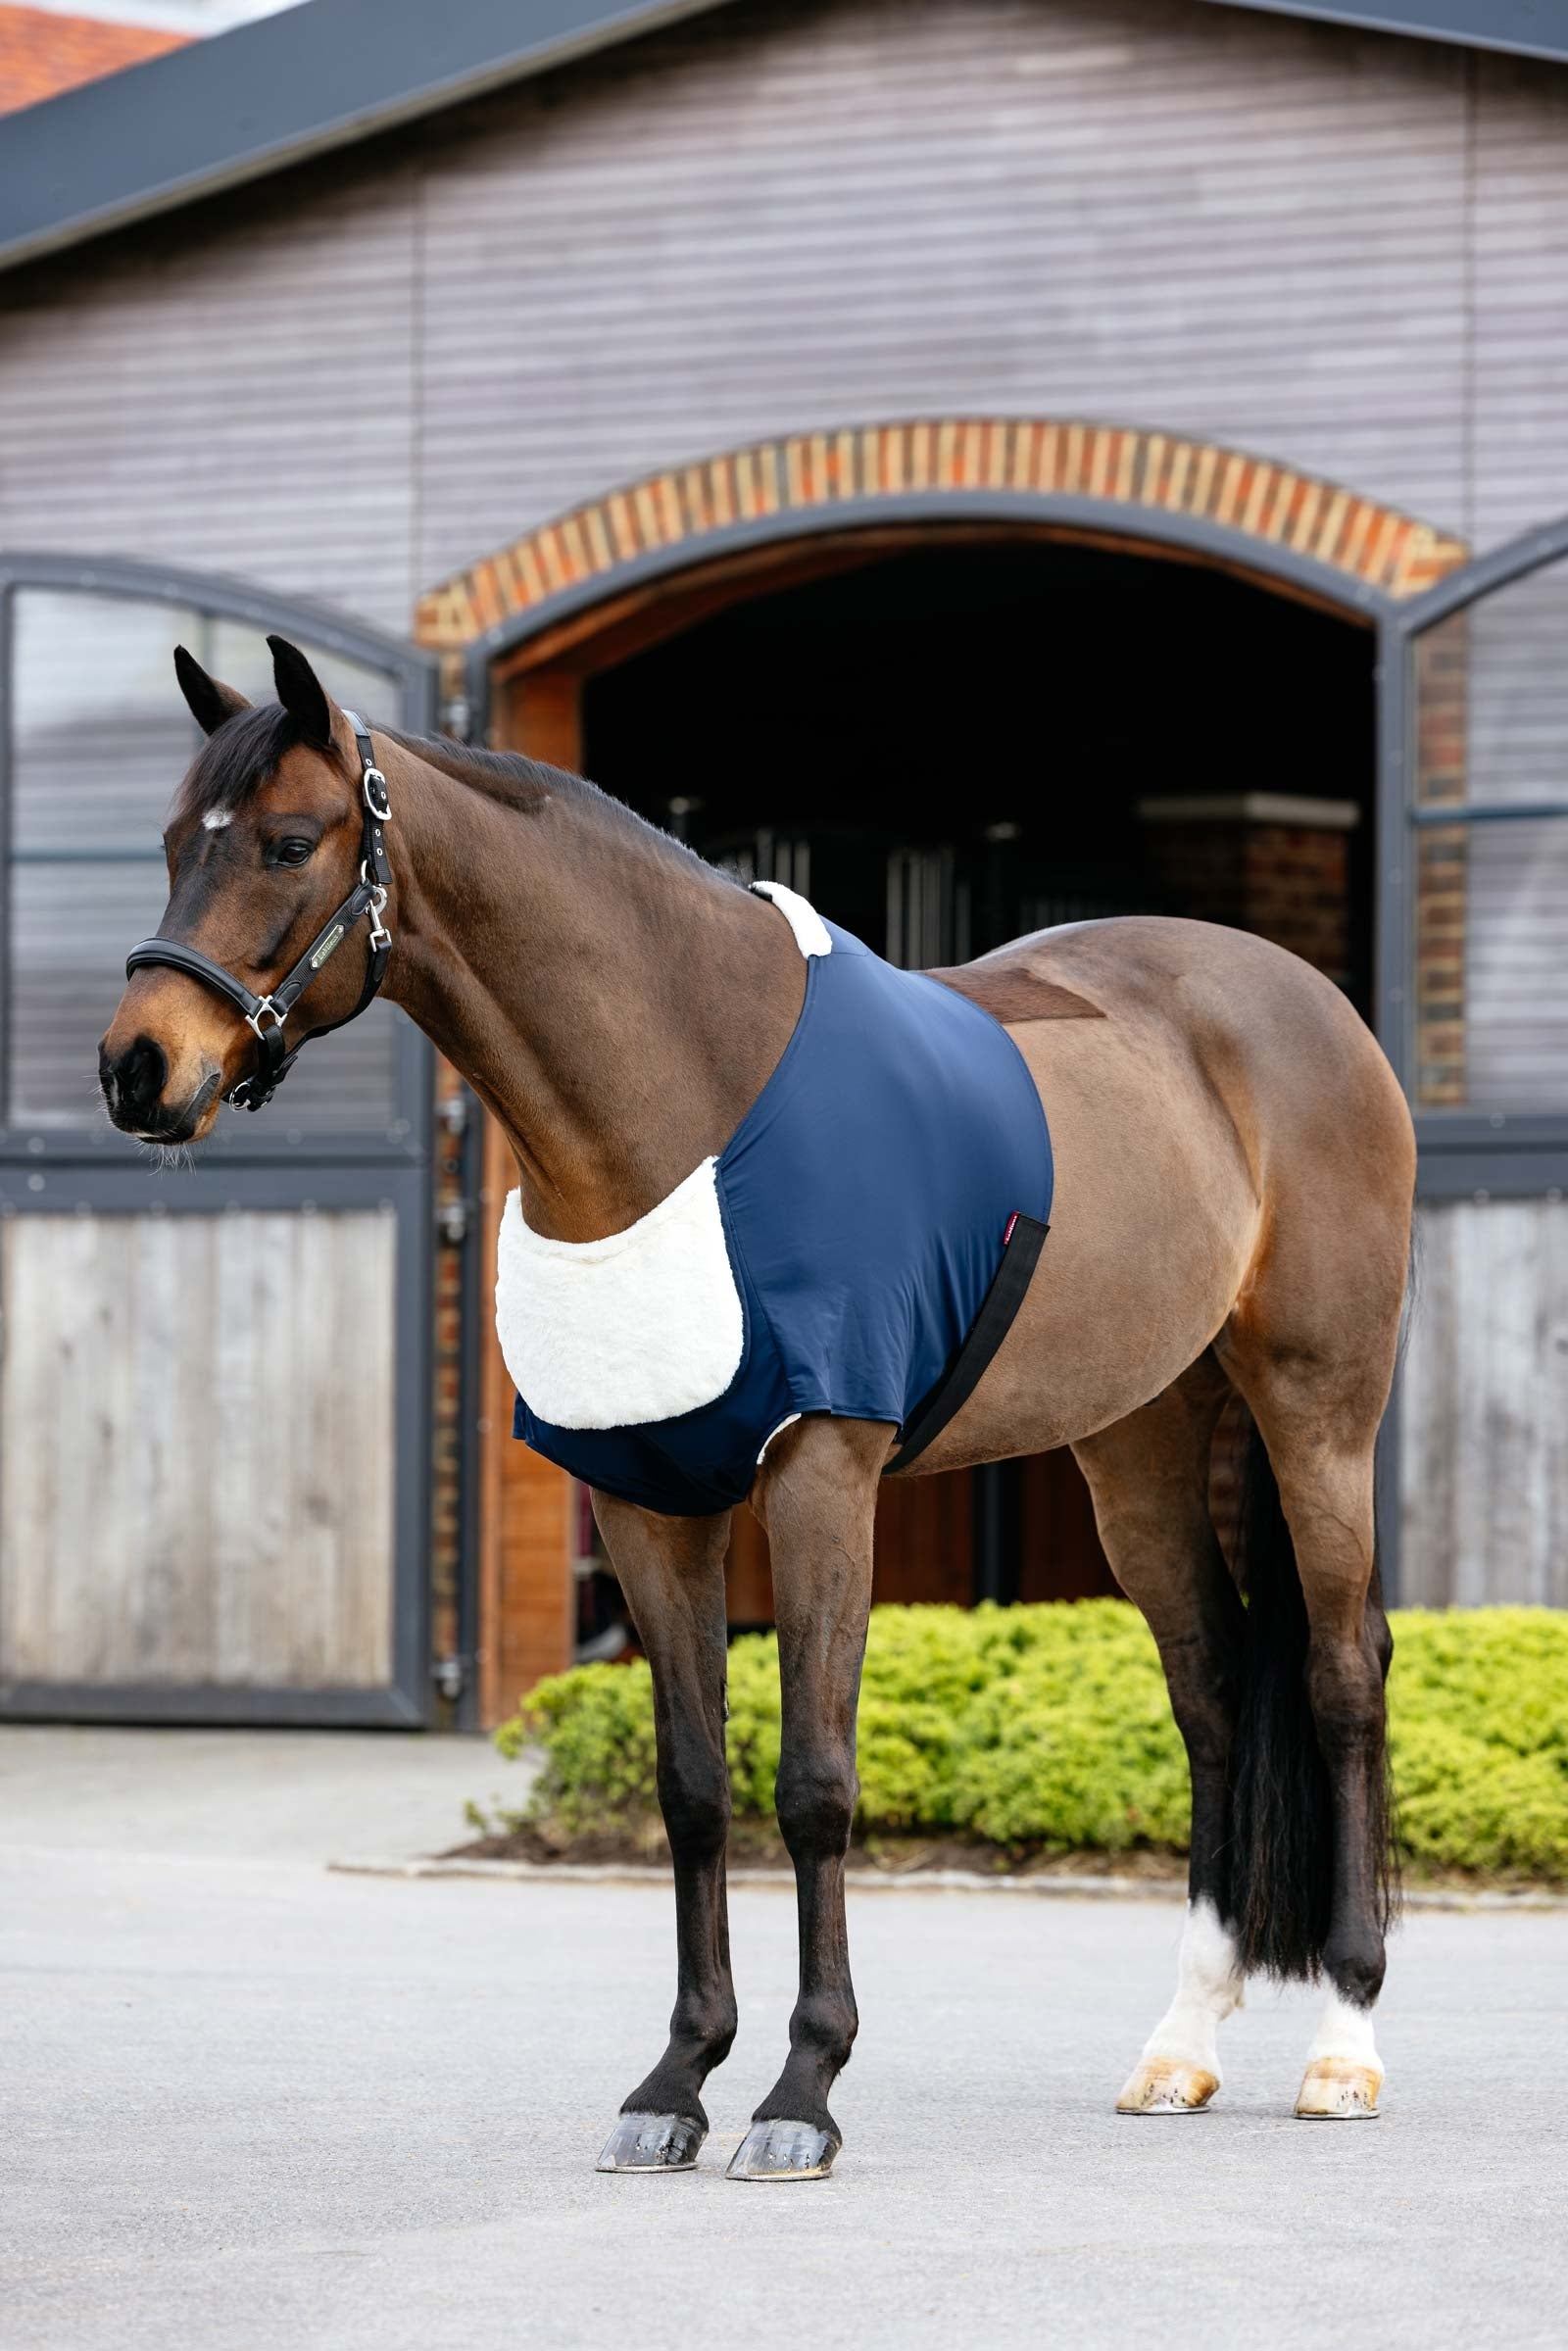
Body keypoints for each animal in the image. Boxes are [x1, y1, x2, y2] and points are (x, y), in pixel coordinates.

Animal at [100, 635, 1411, 2179]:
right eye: (172, 842)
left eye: (291, 842)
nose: (137, 1068)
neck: (690, 1089)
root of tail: (1304, 1002)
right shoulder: (643, 1497)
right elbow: (691, 1786)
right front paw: (675, 2079)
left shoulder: (820, 1472)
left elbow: (814, 1782)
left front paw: (802, 2089)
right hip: (1135, 1436)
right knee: (1207, 1688)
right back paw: (1180, 2042)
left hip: (1320, 1407)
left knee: (1340, 1673)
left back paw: (1346, 2043)